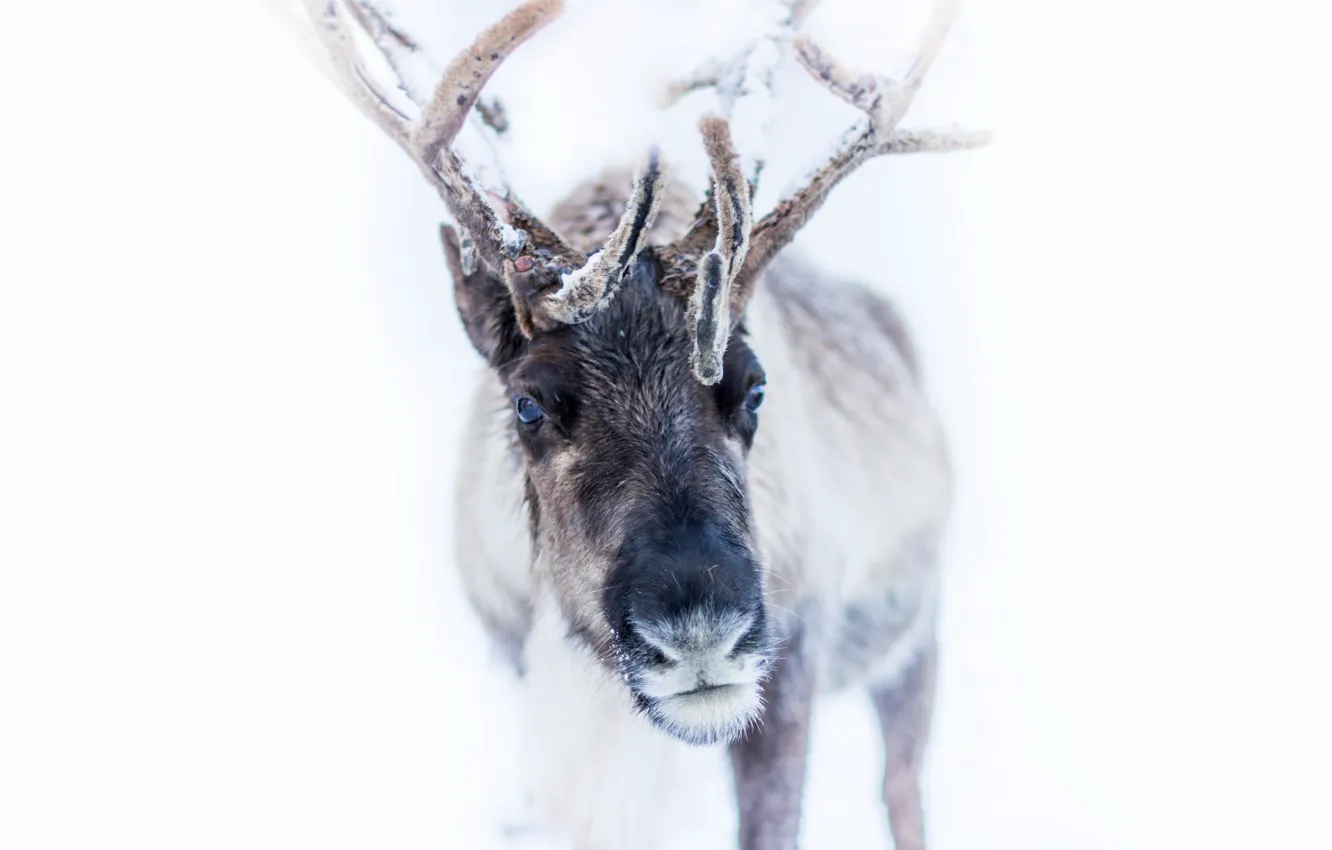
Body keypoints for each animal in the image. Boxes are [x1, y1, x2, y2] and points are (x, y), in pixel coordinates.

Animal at [294, 0, 986, 847]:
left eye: (755, 388)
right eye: (527, 403)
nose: (699, 631)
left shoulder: (793, 666)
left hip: (916, 638)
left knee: (902, 789)